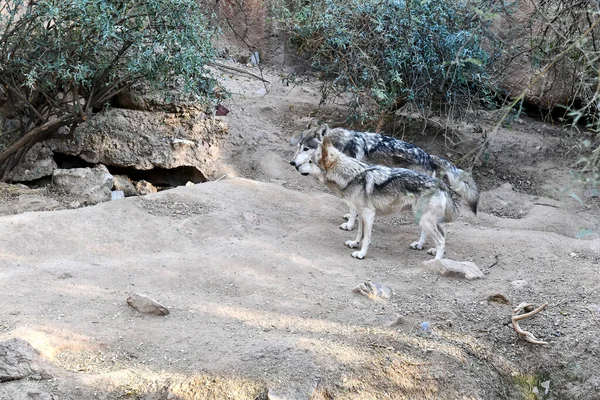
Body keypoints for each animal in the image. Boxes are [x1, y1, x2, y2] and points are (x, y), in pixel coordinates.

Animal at [290, 120, 478, 230]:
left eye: (306, 149)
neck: (339, 146)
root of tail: (429, 157)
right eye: (298, 146)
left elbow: (353, 208)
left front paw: (350, 224)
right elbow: (353, 208)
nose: (292, 163)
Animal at [296, 136, 460, 260]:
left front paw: (361, 254)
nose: (295, 165)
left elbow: (367, 238)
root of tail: (441, 184)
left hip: (424, 220)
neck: (351, 176)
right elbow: (359, 233)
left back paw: (436, 261)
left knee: (441, 239)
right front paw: (354, 243)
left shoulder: (368, 214)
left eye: (310, 161)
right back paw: (421, 246)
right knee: (442, 234)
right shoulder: (361, 213)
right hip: (422, 219)